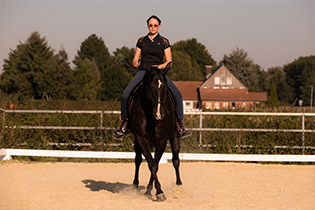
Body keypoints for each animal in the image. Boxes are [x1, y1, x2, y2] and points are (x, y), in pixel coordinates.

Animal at [128, 62, 183, 202]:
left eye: (165, 87)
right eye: (149, 87)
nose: (159, 114)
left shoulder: (162, 141)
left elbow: (156, 164)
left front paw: (157, 192)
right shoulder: (141, 139)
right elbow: (152, 164)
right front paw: (156, 191)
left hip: (175, 137)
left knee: (176, 160)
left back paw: (179, 185)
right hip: (137, 142)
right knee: (138, 160)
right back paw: (135, 186)